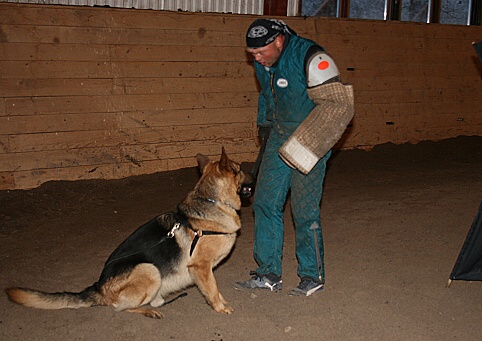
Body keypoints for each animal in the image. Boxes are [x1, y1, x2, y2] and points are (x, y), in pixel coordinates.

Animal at [5, 147, 252, 318]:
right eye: (239, 170)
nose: (253, 175)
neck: (211, 201)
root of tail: (99, 286)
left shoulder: (204, 270)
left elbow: (215, 288)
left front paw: (221, 302)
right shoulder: (200, 267)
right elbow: (212, 289)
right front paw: (220, 307)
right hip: (149, 269)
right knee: (120, 308)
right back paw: (148, 311)